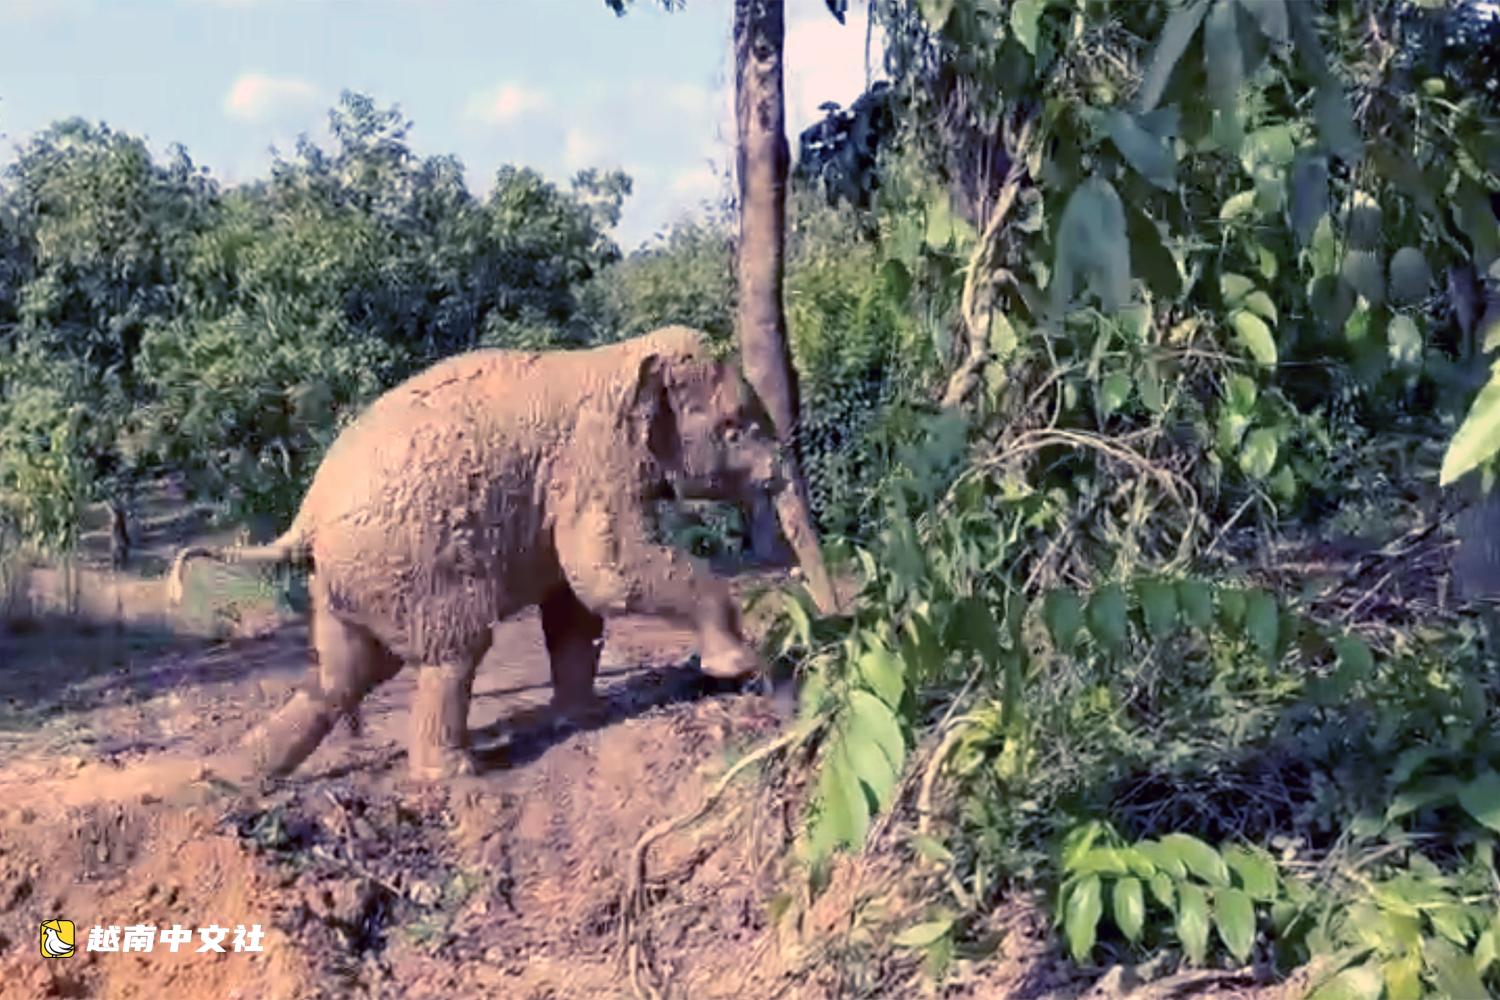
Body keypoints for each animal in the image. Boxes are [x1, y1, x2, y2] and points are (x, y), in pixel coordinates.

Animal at [168, 326, 839, 782]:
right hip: (414, 572)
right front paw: (735, 665)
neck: (618, 359)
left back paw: (233, 783)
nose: (831, 633)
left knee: (342, 676)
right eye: (734, 429)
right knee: (453, 652)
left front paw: (580, 717)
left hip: (345, 586)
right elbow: (605, 573)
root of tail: (304, 518)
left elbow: (574, 604)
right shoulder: (594, 460)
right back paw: (456, 772)